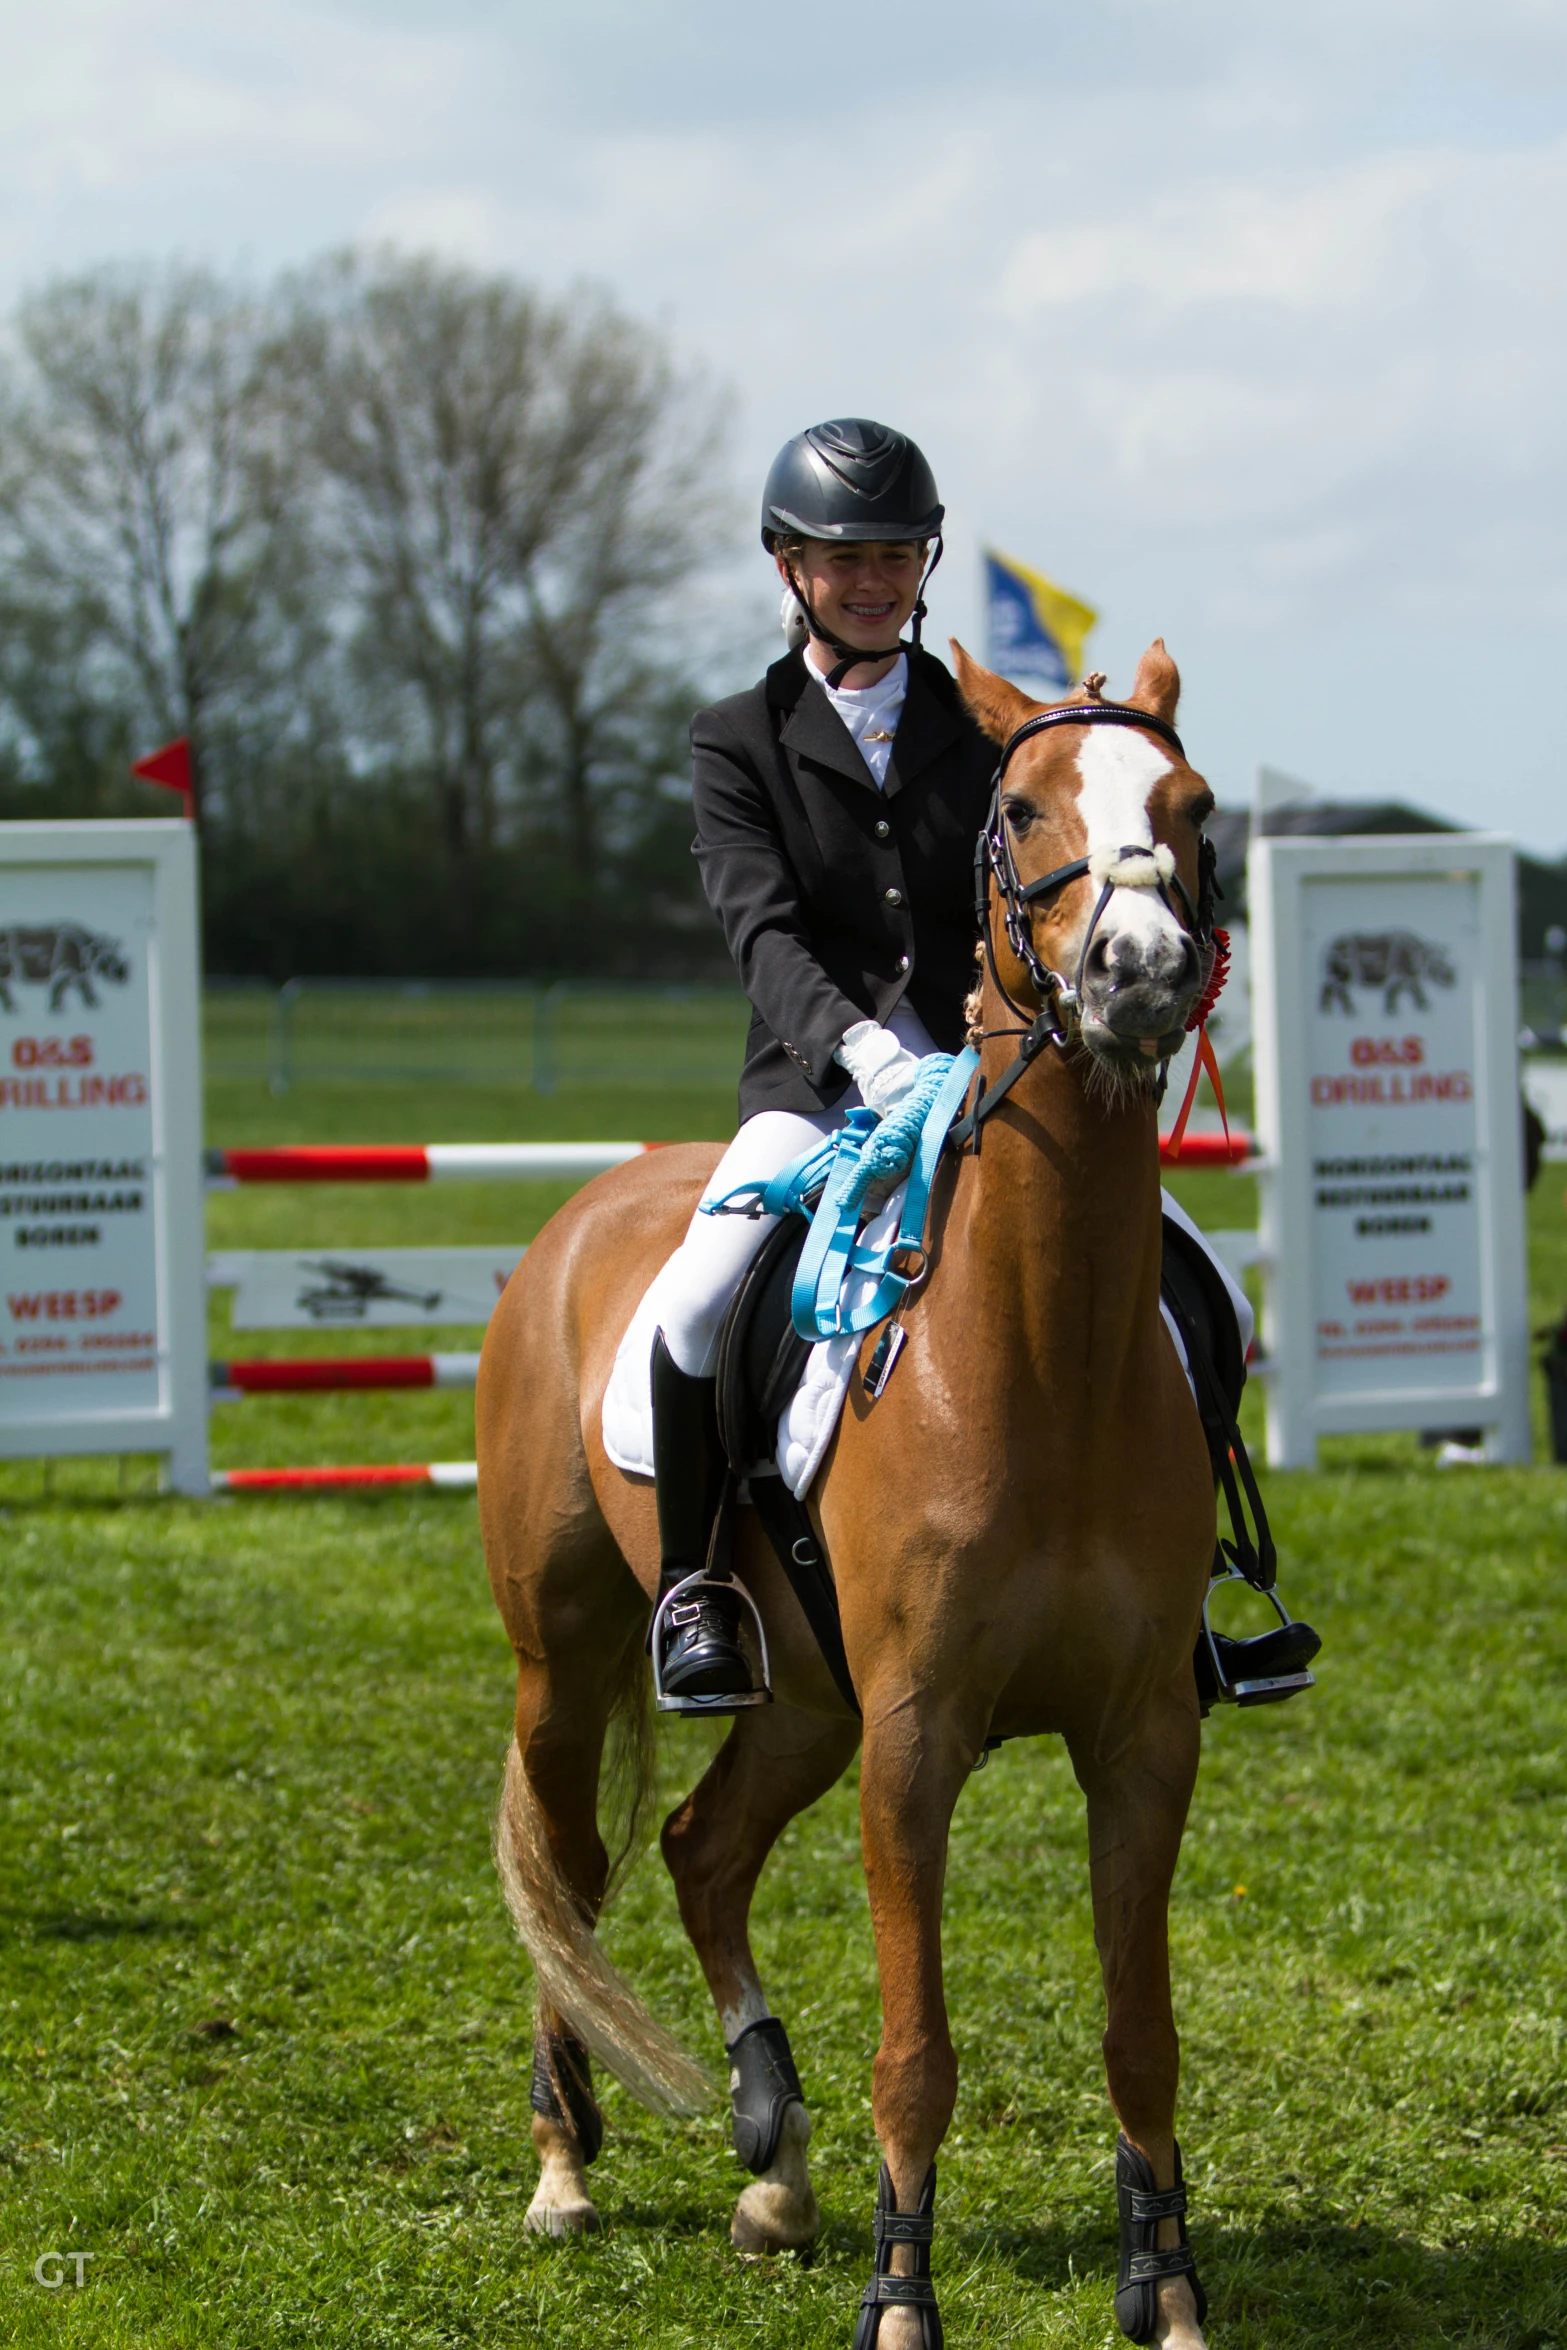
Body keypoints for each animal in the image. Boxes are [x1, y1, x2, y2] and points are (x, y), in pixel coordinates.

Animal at [481, 643, 1221, 2350]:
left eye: (1192, 805)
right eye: (1020, 810)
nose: (1140, 970)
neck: (1045, 1348)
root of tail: (578, 1214)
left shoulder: (1141, 1734)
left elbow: (1138, 2033)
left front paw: (1163, 2289)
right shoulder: (914, 1735)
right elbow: (917, 2051)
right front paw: (901, 2301)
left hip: (804, 1699)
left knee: (698, 1848)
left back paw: (776, 2168)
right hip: (570, 1659)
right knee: (571, 1874)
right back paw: (563, 2170)